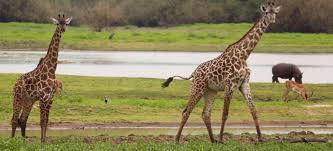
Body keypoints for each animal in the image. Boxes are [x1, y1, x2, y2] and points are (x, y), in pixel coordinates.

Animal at [11, 14, 71, 143]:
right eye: (57, 23)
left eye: (66, 23)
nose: (63, 29)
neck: (51, 70)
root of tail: (15, 83)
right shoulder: (43, 98)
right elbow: (42, 121)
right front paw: (42, 141)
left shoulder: (50, 99)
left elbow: (46, 121)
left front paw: (44, 140)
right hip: (17, 97)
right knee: (14, 119)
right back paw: (12, 139)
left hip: (28, 100)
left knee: (22, 120)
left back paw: (23, 139)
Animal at [162, 1, 278, 143]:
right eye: (266, 12)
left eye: (275, 12)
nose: (272, 19)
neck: (244, 55)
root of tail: (194, 73)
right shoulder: (230, 84)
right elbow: (225, 114)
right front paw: (222, 139)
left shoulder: (244, 84)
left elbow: (254, 111)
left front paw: (261, 139)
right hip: (197, 88)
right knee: (186, 111)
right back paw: (177, 139)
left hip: (211, 91)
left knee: (205, 114)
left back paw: (213, 140)